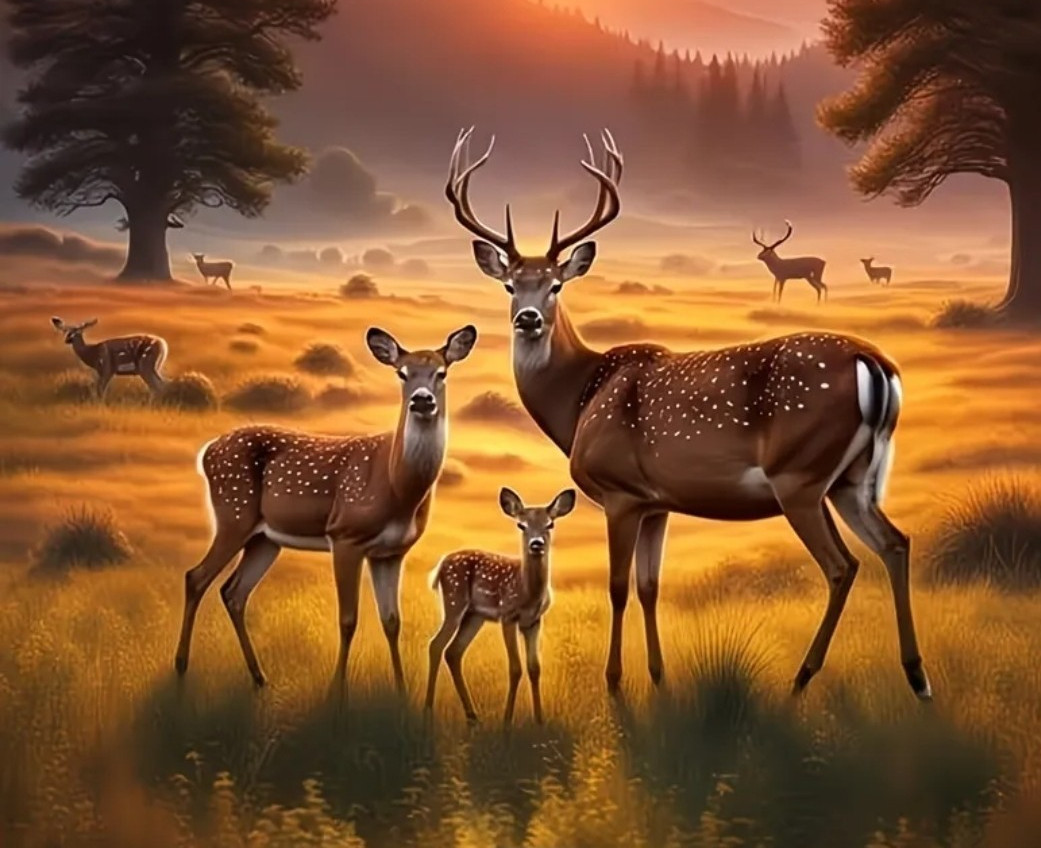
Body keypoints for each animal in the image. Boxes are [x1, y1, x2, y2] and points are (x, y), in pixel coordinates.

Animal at [174, 324, 478, 694]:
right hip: (233, 513)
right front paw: (337, 690)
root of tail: (206, 452)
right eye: (402, 373)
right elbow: (348, 619)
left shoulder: (391, 552)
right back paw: (181, 667)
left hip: (265, 538)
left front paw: (402, 690)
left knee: (233, 592)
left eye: (441, 372)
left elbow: (392, 621)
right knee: (196, 577)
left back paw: (260, 677)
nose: (422, 400)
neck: (398, 488)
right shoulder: (345, 535)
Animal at [425, 487, 576, 725]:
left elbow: (535, 668)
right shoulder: (508, 614)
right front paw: (506, 721)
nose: (536, 544)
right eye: (521, 525)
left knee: (453, 651)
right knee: (436, 644)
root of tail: (440, 564)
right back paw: (428, 711)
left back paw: (473, 717)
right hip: (453, 601)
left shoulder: (534, 621)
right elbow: (515, 668)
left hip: (474, 616)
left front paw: (540, 720)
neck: (527, 592)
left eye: (550, 524)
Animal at [445, 127, 931, 702]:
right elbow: (650, 586)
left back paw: (801, 679)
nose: (527, 319)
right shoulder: (658, 502)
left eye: (556, 284)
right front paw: (658, 677)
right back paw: (917, 677)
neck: (580, 399)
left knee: (842, 565)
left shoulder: (619, 492)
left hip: (801, 473)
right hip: (854, 478)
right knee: (895, 543)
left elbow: (617, 587)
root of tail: (875, 363)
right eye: (510, 284)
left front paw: (614, 682)